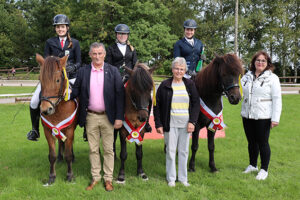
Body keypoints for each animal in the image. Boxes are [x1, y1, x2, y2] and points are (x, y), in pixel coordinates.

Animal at [36, 53, 78, 184]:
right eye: (40, 80)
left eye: (58, 80)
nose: (46, 109)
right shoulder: (48, 130)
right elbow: (52, 155)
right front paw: (52, 176)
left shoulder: (69, 129)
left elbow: (68, 154)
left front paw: (69, 175)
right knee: (60, 142)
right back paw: (60, 158)